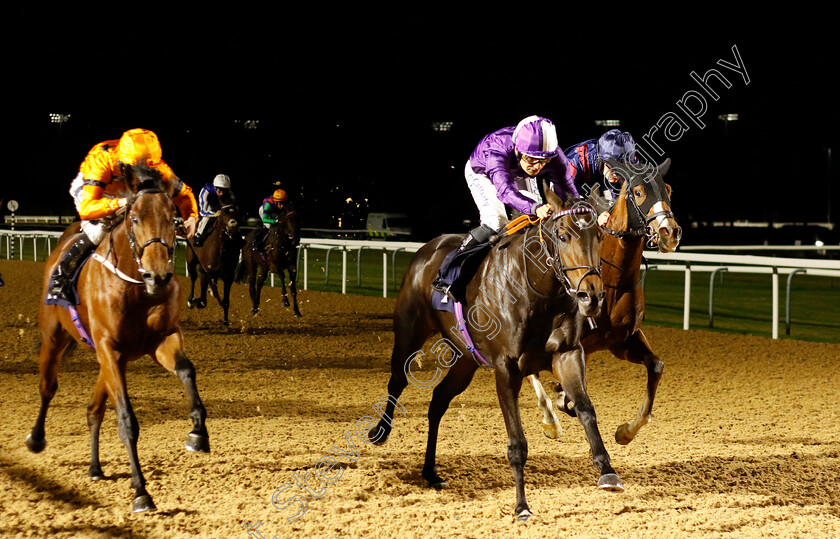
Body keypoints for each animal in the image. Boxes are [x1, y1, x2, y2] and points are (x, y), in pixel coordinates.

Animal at [27, 168, 210, 516]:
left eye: (173, 217)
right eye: (135, 218)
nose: (158, 276)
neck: (136, 285)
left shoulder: (161, 339)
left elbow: (187, 370)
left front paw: (198, 433)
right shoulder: (109, 349)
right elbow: (126, 419)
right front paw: (141, 492)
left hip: (113, 358)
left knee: (93, 409)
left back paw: (95, 467)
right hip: (54, 338)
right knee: (47, 387)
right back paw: (36, 438)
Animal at [370, 191, 620, 524]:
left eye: (600, 236)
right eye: (563, 236)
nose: (591, 296)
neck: (537, 290)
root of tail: (428, 249)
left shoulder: (567, 355)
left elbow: (586, 410)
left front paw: (607, 471)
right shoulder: (506, 368)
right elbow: (517, 442)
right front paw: (522, 506)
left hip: (465, 360)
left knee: (438, 401)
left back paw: (430, 471)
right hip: (409, 333)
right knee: (397, 380)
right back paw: (380, 431)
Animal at [532, 159, 684, 448]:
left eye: (669, 189)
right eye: (638, 192)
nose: (670, 232)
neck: (613, 278)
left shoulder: (622, 340)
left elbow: (656, 366)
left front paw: (626, 431)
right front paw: (561, 400)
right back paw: (550, 421)